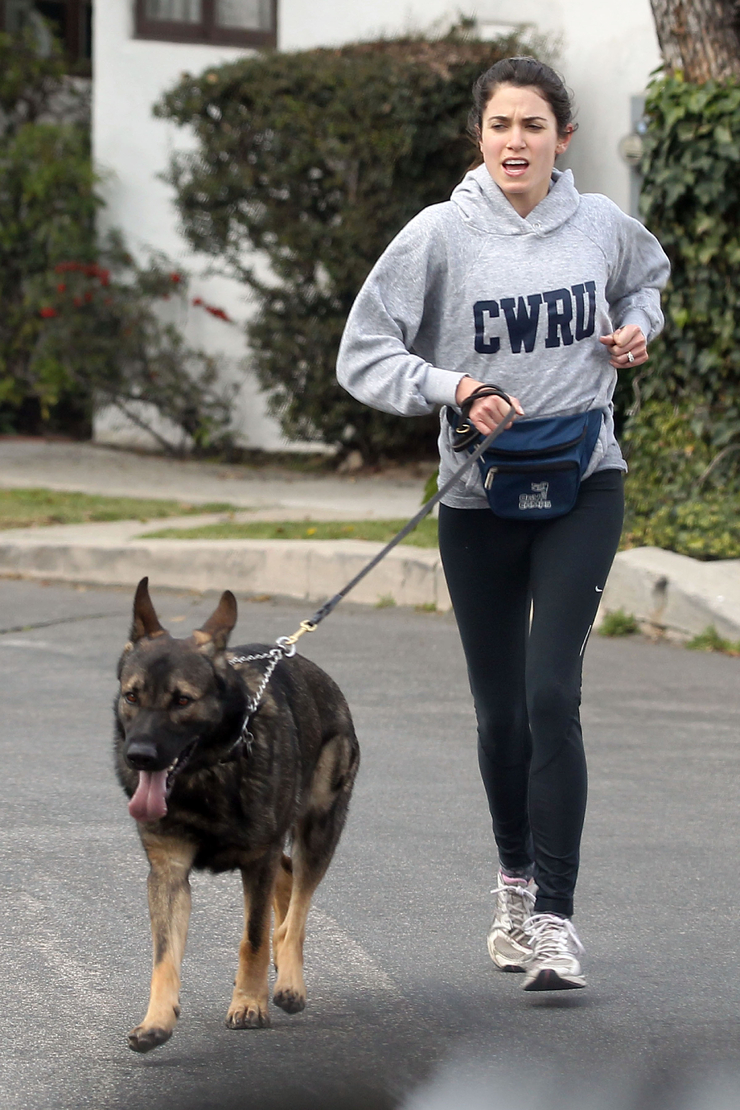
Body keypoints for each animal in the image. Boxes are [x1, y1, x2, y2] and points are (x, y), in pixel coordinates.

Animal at [114, 577, 359, 1052]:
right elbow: (164, 954)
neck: (206, 773)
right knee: (287, 883)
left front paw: (249, 1003)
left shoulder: (257, 861)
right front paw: (157, 1019)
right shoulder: (169, 873)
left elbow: (254, 938)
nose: (139, 757)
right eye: (132, 696)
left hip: (318, 831)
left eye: (182, 701)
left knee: (297, 908)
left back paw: (289, 981)